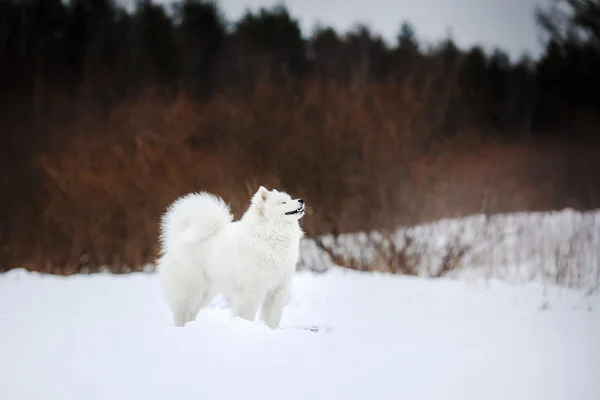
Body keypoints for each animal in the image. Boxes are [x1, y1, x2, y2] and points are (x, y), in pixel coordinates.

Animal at [156, 186, 304, 330]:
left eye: (290, 198)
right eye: (283, 202)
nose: (301, 200)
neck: (271, 236)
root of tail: (176, 240)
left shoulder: (278, 289)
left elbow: (273, 315)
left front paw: (272, 330)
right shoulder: (251, 290)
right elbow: (246, 314)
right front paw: (245, 328)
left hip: (205, 293)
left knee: (191, 313)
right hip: (189, 291)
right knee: (181, 314)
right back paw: (180, 330)